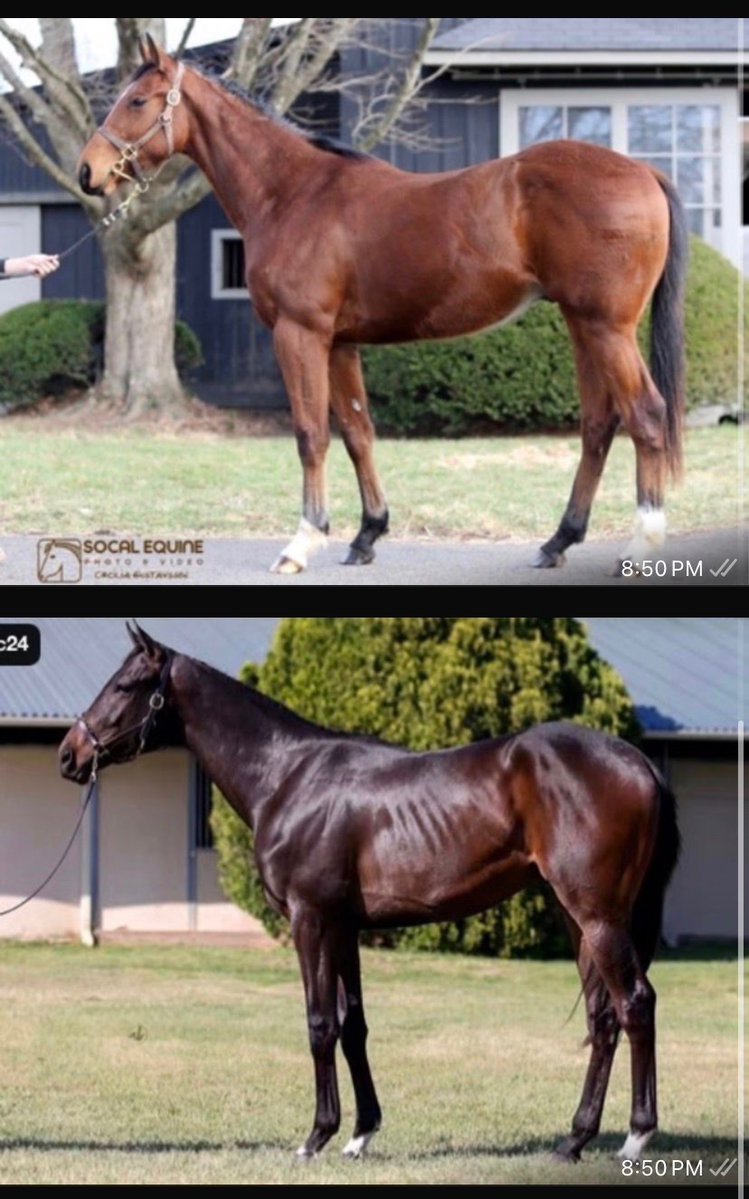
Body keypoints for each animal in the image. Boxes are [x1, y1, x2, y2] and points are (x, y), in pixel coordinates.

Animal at [59, 622, 680, 1163]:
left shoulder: (310, 919)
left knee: (635, 1004)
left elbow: (319, 1024)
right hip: (580, 919)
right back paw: (574, 1141)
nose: (70, 754)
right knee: (603, 1019)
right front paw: (360, 1135)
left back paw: (635, 1138)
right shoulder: (344, 926)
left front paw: (315, 1138)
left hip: (599, 917)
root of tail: (639, 761)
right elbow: (352, 1024)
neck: (286, 776)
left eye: (124, 685)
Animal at [77, 36, 688, 579]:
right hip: (584, 326)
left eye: (138, 101)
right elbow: (357, 432)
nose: (88, 172)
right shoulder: (340, 344)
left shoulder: (299, 334)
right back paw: (558, 541)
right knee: (599, 425)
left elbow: (310, 434)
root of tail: (644, 171)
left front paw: (302, 542)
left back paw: (642, 543)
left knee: (646, 415)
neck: (293, 194)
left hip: (606, 327)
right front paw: (366, 534)